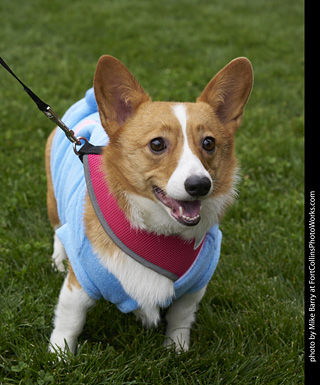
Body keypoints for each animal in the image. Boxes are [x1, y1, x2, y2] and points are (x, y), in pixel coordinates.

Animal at [46, 54, 254, 354]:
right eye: (157, 144)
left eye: (209, 143)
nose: (200, 185)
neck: (158, 233)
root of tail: (87, 104)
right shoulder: (80, 284)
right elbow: (69, 323)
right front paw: (59, 355)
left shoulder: (194, 288)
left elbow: (180, 319)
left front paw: (177, 349)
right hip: (53, 199)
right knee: (57, 232)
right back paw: (58, 261)